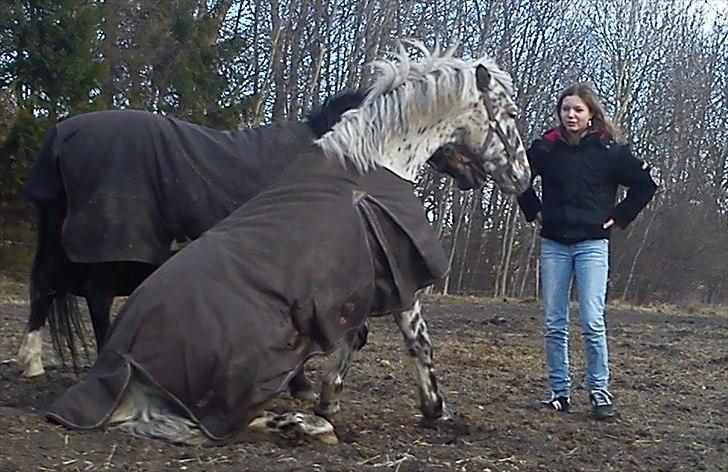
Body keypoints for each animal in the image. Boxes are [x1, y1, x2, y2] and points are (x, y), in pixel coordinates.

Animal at [48, 42, 532, 444]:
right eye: (509, 114)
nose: (524, 179)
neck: (372, 161)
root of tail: (126, 365)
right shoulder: (397, 277)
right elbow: (417, 342)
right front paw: (435, 410)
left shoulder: (358, 286)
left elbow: (356, 338)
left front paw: (329, 398)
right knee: (218, 423)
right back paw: (304, 426)